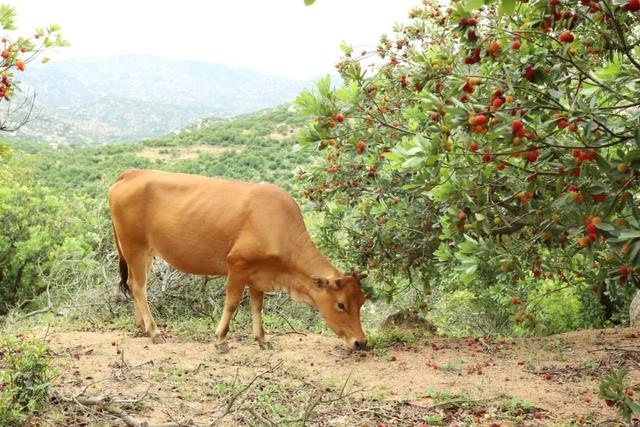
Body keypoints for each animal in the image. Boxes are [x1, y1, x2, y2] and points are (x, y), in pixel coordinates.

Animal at [108, 169, 368, 352]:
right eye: (341, 304)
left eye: (361, 302)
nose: (361, 342)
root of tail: (132, 173)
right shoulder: (238, 265)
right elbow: (232, 303)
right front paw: (221, 339)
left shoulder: (259, 274)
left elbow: (257, 306)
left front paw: (262, 339)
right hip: (134, 247)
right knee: (139, 286)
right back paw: (154, 331)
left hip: (146, 253)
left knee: (133, 283)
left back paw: (141, 325)